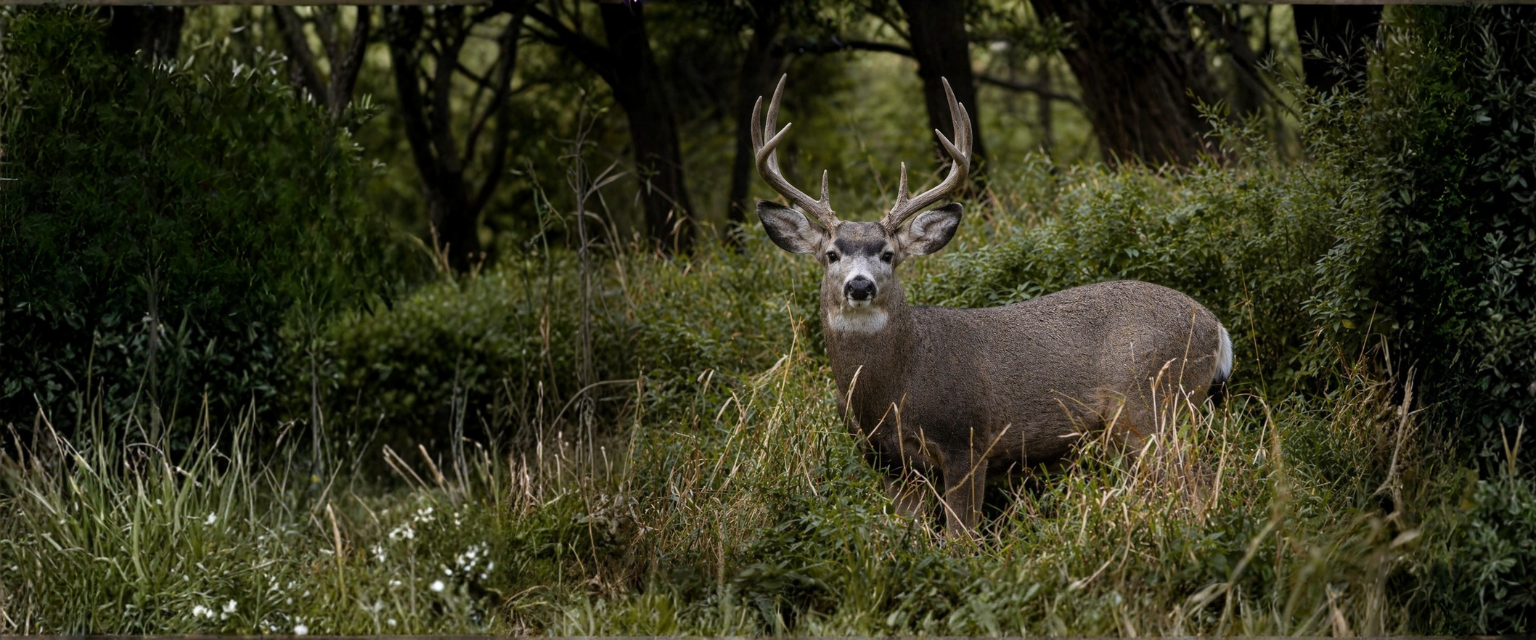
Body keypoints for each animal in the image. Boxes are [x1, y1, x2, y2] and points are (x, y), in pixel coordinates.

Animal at [750, 75, 1234, 536]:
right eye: (832, 254)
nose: (860, 285)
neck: (894, 387)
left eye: (887, 254)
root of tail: (1217, 328)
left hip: (1156, 401)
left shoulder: (967, 442)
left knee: (1198, 483)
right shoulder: (890, 463)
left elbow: (962, 538)